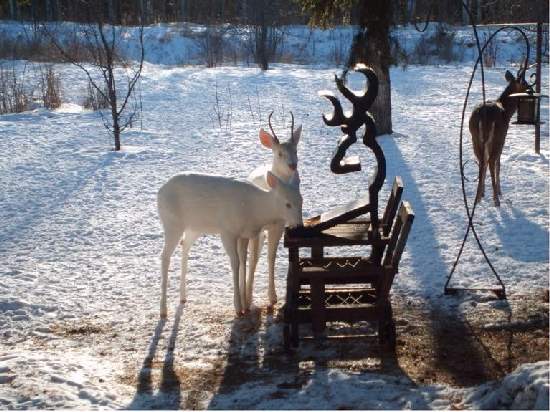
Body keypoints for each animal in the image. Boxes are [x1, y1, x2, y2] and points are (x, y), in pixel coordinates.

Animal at [157, 171, 304, 318]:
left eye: (301, 201)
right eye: (287, 204)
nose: (299, 226)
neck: (255, 210)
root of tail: (160, 192)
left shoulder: (244, 235)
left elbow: (244, 261)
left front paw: (246, 305)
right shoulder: (227, 231)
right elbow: (236, 263)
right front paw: (238, 307)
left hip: (194, 227)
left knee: (185, 245)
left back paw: (183, 297)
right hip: (172, 223)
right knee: (165, 256)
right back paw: (163, 310)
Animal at [247, 111, 304, 310]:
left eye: (296, 150)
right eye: (280, 152)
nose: (293, 165)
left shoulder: (278, 226)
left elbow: (271, 257)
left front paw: (273, 297)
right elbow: (253, 260)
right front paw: (248, 299)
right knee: (253, 257)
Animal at [470, 66, 532, 208]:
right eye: (525, 84)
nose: (532, 91)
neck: (507, 112)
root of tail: (483, 117)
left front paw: (483, 193)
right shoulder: (503, 136)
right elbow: (498, 164)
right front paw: (499, 192)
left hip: (475, 137)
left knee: (482, 161)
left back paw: (477, 197)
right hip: (497, 137)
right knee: (492, 161)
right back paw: (496, 200)